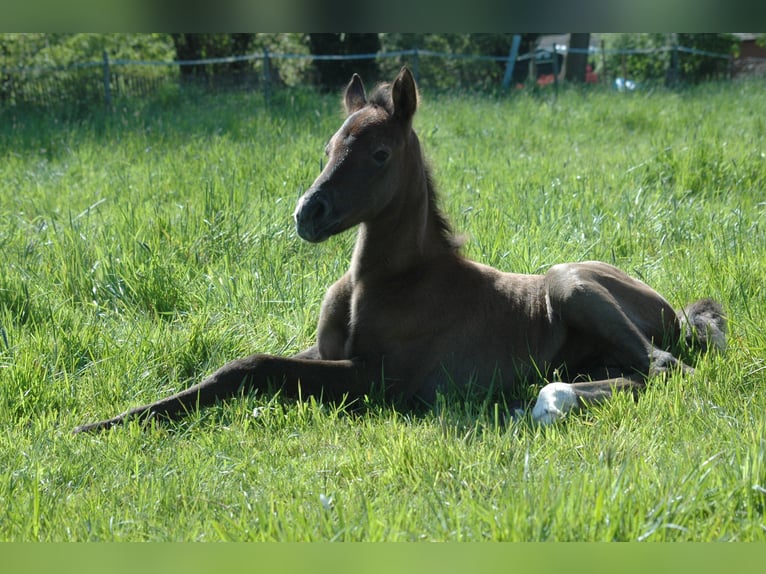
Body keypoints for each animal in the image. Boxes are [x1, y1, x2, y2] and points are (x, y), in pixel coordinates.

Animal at [75, 67, 728, 434]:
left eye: (380, 153)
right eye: (329, 145)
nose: (307, 215)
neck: (386, 281)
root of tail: (671, 307)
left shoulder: (374, 380)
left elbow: (257, 368)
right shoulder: (325, 351)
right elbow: (235, 367)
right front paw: (107, 423)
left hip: (569, 282)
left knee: (663, 368)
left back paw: (542, 404)